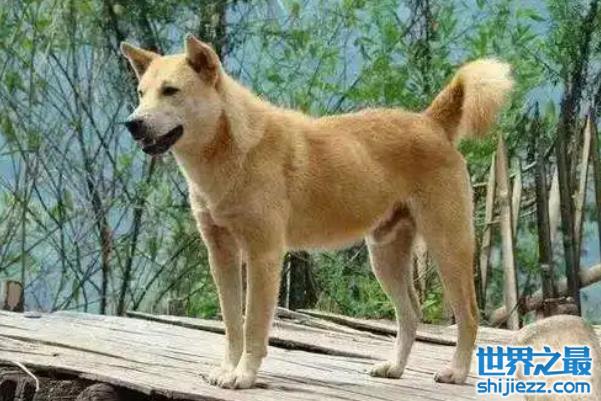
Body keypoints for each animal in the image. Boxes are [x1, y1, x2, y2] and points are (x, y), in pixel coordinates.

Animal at [121, 34, 513, 389]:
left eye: (171, 90)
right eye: (141, 92)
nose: (132, 123)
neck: (231, 150)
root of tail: (431, 122)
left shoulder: (264, 256)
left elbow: (253, 326)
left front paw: (244, 376)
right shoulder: (221, 256)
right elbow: (232, 324)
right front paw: (227, 370)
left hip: (448, 248)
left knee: (469, 316)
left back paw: (456, 372)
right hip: (385, 257)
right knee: (411, 314)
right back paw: (395, 368)